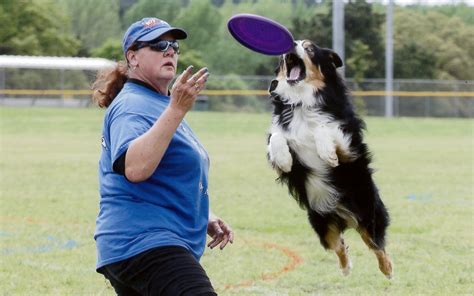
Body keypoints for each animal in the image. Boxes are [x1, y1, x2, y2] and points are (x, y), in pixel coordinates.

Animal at [266, 40, 392, 278]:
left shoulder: (350, 148)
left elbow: (323, 129)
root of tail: (344, 216)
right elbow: (277, 137)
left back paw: (388, 270)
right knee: (339, 245)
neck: (302, 101)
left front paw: (327, 153)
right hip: (321, 224)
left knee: (377, 245)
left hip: (368, 214)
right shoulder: (284, 146)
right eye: (293, 44)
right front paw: (285, 159)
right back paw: (345, 268)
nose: (290, 45)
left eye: (309, 48)